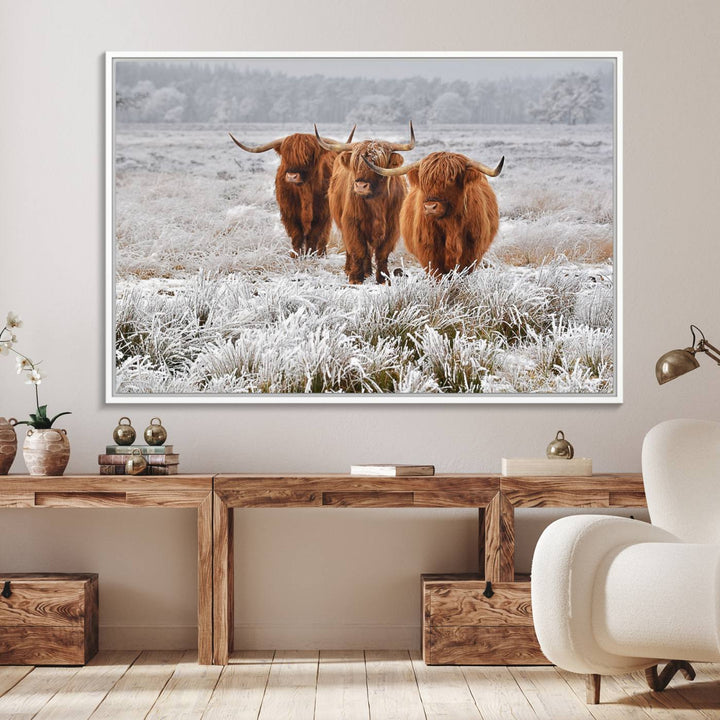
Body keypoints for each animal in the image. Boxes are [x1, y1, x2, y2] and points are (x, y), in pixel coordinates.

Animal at [229, 128, 352, 258]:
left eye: (308, 155)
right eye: (286, 155)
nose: (292, 176)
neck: (304, 191)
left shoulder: (321, 213)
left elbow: (314, 236)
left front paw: (310, 255)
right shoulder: (289, 213)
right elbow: (296, 236)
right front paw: (295, 256)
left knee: (323, 236)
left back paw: (321, 254)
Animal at [316, 124, 416, 284]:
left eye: (378, 163)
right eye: (355, 163)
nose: (361, 186)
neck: (376, 203)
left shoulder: (392, 227)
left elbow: (382, 253)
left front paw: (383, 278)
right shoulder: (351, 223)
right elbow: (358, 250)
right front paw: (355, 278)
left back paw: (368, 271)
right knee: (352, 248)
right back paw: (350, 269)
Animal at [362, 150, 504, 274]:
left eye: (451, 179)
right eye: (424, 181)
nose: (430, 207)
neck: (450, 225)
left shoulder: (471, 253)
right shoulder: (429, 254)